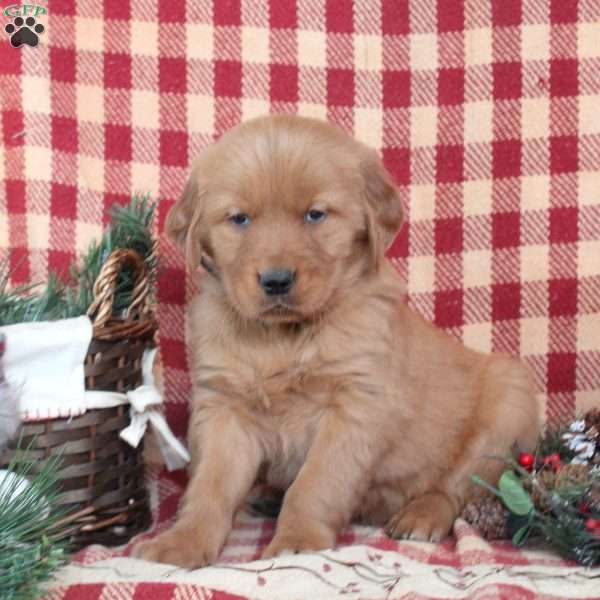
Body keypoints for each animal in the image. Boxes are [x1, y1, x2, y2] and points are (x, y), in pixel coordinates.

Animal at [134, 116, 540, 568]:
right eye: (239, 219)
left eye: (315, 214)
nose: (276, 280)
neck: (282, 338)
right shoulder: (225, 408)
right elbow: (209, 486)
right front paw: (183, 540)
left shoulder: (355, 407)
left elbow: (315, 483)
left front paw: (297, 539)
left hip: (509, 400)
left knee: (455, 487)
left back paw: (421, 514)